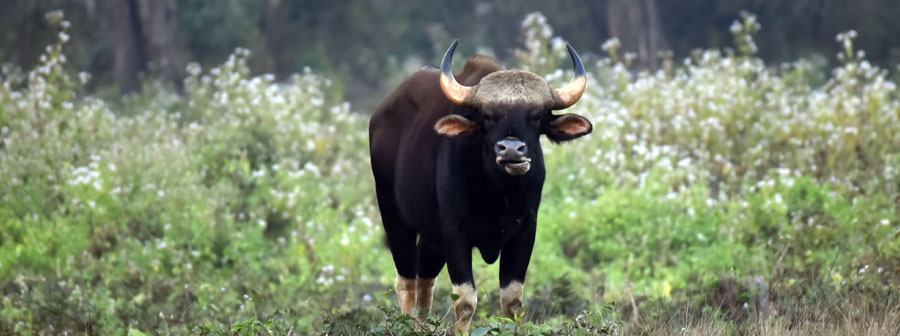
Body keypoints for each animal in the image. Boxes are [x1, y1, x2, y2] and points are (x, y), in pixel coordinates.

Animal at [366, 40, 592, 334]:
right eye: (488, 116)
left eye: (537, 116)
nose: (511, 149)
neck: (497, 195)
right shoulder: (455, 233)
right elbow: (465, 301)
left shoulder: (525, 232)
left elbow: (512, 301)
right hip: (393, 215)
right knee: (406, 280)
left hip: (432, 236)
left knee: (424, 280)